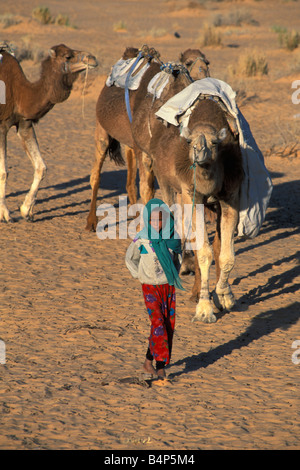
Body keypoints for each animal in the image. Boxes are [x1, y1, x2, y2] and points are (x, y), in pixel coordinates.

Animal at [0, 42, 97, 222]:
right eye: (67, 56)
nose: (92, 58)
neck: (19, 92)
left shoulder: (25, 124)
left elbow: (41, 167)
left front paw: (26, 210)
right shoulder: (1, 125)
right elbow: (4, 172)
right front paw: (5, 214)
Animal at [85, 46, 210, 231]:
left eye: (207, 62)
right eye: (188, 62)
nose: (204, 71)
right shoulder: (146, 152)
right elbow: (147, 189)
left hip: (130, 142)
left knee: (130, 180)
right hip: (102, 128)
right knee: (96, 173)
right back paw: (92, 221)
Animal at [148, 97, 244, 322]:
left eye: (214, 143)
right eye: (190, 142)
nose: (199, 154)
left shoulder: (231, 195)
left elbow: (226, 254)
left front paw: (224, 296)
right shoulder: (192, 196)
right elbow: (204, 253)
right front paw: (204, 309)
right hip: (167, 185)